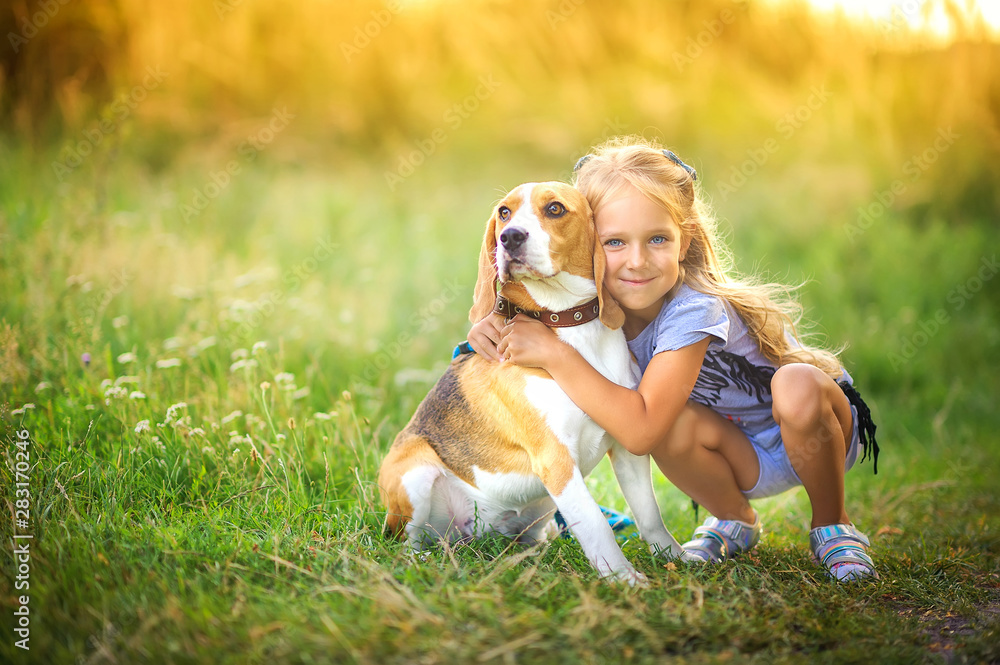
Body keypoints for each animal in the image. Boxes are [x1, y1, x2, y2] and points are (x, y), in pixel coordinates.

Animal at [376, 180, 688, 580]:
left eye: (555, 209)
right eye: (504, 213)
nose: (509, 237)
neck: (569, 324)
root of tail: (474, 537)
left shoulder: (626, 445)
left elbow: (650, 514)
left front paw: (677, 558)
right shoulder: (556, 459)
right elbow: (596, 525)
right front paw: (625, 580)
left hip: (541, 510)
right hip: (414, 474)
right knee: (406, 545)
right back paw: (425, 561)